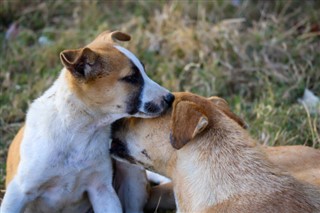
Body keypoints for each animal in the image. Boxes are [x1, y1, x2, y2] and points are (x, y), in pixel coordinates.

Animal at [2, 30, 174, 213]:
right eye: (131, 78)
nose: (170, 98)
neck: (79, 132)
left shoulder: (102, 190)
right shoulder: (17, 193)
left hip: (130, 170)